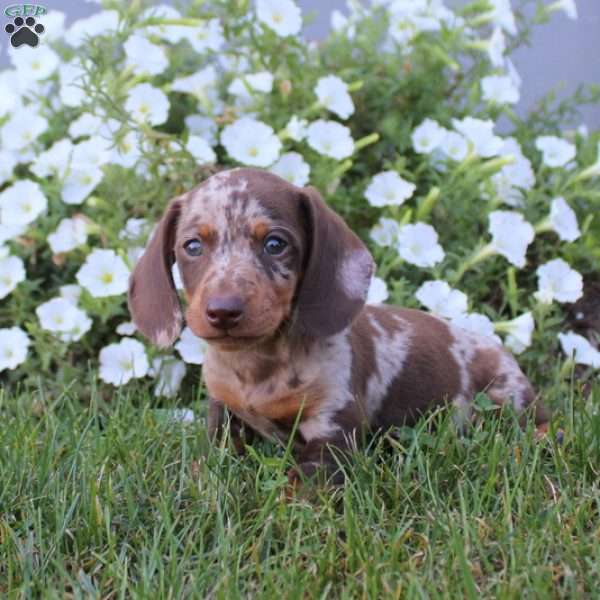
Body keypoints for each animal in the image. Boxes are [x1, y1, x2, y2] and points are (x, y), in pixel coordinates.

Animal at [127, 168, 548, 482]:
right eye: (192, 246)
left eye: (275, 244)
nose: (223, 311)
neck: (258, 366)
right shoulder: (222, 416)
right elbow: (209, 464)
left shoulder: (332, 432)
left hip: (509, 399)